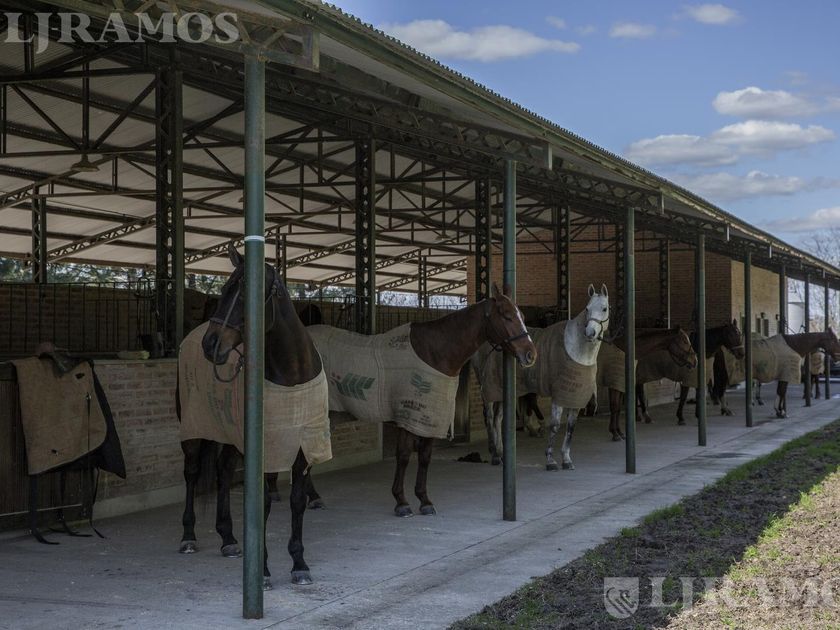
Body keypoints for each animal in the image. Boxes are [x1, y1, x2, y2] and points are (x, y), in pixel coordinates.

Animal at [178, 243, 327, 589]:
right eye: (223, 289)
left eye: (248, 294)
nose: (211, 345)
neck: (291, 376)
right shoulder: (265, 450)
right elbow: (263, 504)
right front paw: (264, 571)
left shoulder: (301, 446)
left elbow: (296, 501)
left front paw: (299, 564)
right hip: (194, 429)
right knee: (191, 473)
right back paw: (189, 536)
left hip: (230, 436)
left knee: (221, 472)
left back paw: (228, 538)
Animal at [307, 283, 536, 517]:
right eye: (507, 316)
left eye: (522, 315)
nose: (530, 354)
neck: (433, 352)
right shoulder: (408, 416)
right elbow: (404, 456)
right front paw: (401, 501)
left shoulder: (431, 418)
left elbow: (425, 457)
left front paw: (424, 500)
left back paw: (313, 498)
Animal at [472, 284, 610, 471]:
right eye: (587, 309)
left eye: (604, 308)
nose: (590, 333)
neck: (576, 350)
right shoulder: (559, 395)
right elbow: (555, 425)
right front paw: (550, 460)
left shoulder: (575, 396)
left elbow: (571, 427)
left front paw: (567, 459)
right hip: (488, 386)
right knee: (489, 418)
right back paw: (494, 454)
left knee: (497, 419)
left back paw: (500, 454)